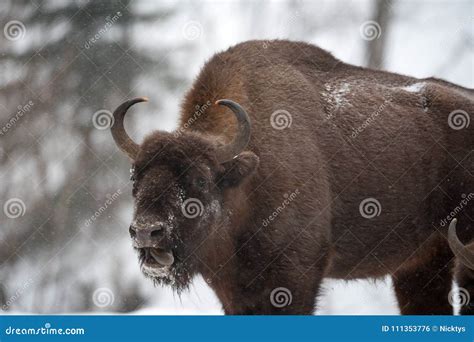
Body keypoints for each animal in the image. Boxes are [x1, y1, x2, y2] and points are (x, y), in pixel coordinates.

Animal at [110, 40, 470, 316]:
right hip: (419, 264)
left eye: (200, 179)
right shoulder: (232, 291)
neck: (247, 182)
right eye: (134, 179)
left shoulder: (296, 278)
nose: (147, 232)